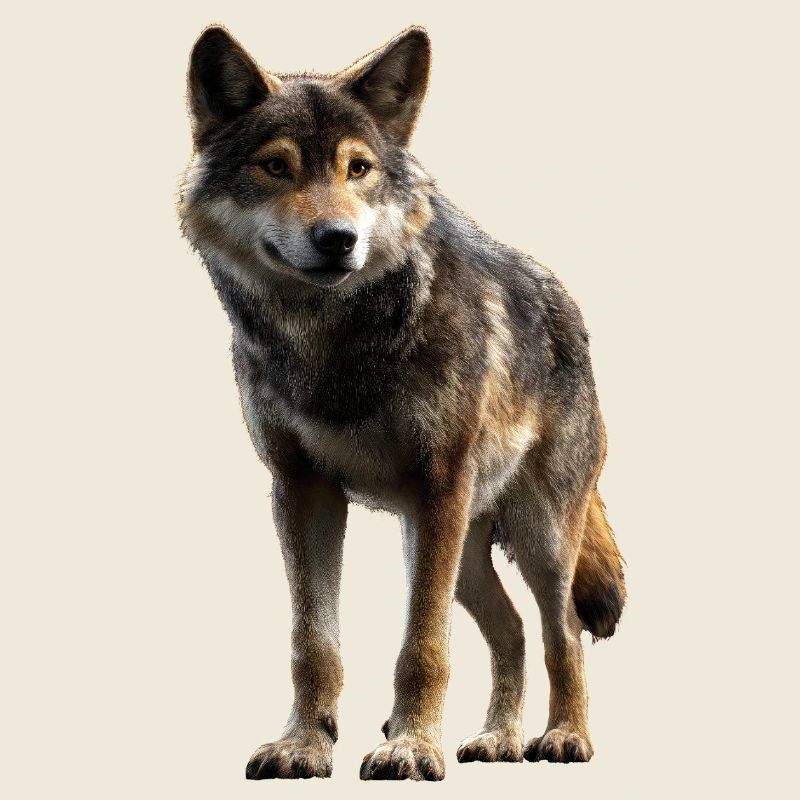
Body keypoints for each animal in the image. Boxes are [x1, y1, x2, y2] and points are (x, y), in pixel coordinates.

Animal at [178, 24, 626, 781]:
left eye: (358, 168)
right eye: (276, 167)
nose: (339, 239)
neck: (333, 341)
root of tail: (568, 305)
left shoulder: (437, 486)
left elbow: (423, 645)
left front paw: (411, 747)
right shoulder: (302, 490)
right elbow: (313, 644)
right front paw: (304, 745)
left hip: (531, 536)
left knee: (560, 630)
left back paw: (564, 737)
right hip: (461, 550)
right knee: (510, 631)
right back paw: (497, 739)